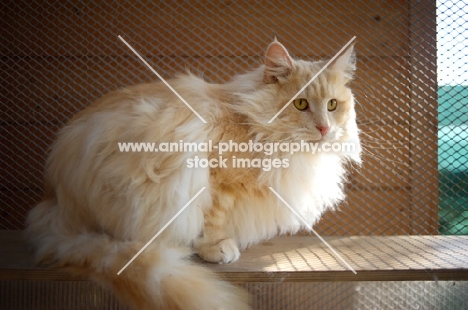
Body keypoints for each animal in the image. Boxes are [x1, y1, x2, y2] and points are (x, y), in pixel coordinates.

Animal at [25, 40, 360, 308]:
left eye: (332, 105)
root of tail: (53, 200)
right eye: (300, 104)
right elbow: (212, 217)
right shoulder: (213, 177)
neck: (255, 126)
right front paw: (217, 246)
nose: (324, 128)